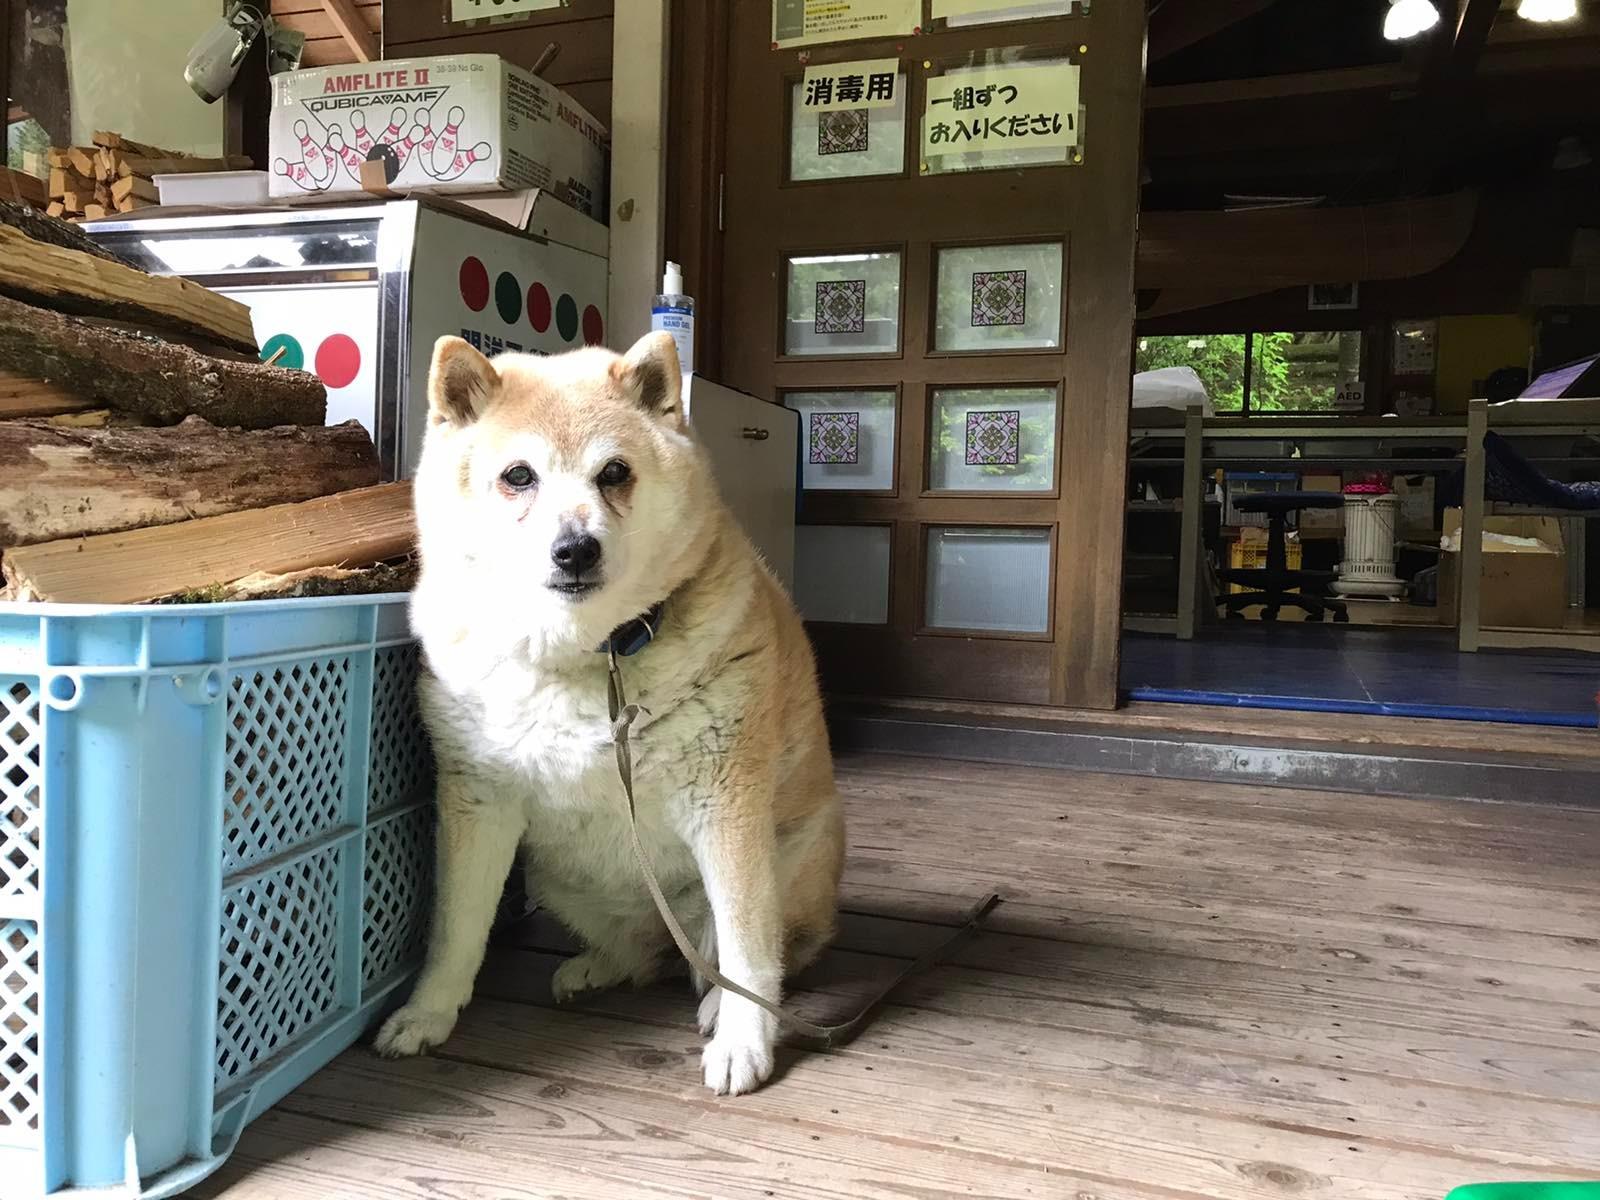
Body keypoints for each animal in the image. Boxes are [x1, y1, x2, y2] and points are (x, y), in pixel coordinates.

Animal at [376, 331, 851, 1100]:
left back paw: (720, 1005)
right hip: (558, 879)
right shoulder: (478, 800)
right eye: (518, 476)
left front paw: (743, 1041)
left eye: (614, 473)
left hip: (788, 857)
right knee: (645, 955)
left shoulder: (725, 807)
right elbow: (456, 929)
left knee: (745, 953)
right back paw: (596, 967)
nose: (575, 549)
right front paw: (428, 1013)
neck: (592, 655)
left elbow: (748, 947)